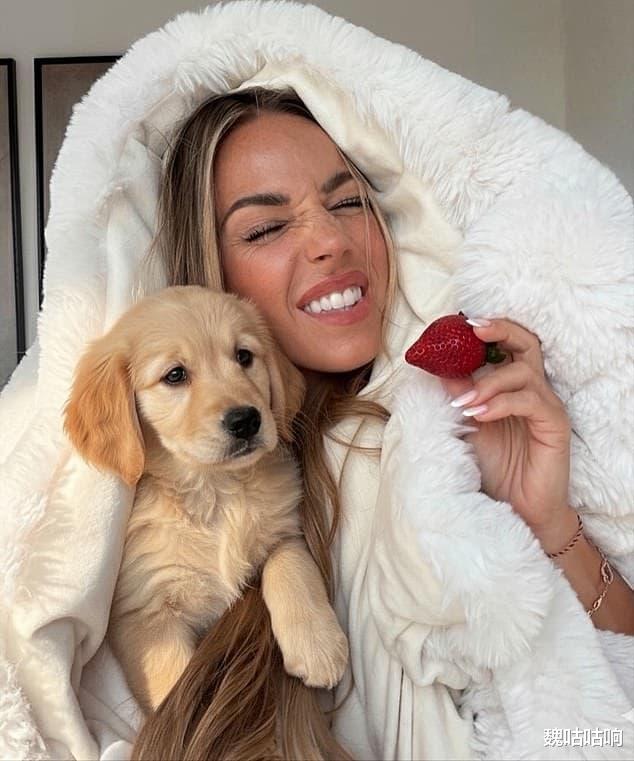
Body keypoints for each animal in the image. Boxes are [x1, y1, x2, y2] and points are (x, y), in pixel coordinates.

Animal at [64, 285, 348, 714]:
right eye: (175, 375)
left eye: (244, 356)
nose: (246, 420)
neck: (215, 491)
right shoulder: (144, 611)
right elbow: (174, 681)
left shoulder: (284, 530)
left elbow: (292, 565)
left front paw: (318, 643)